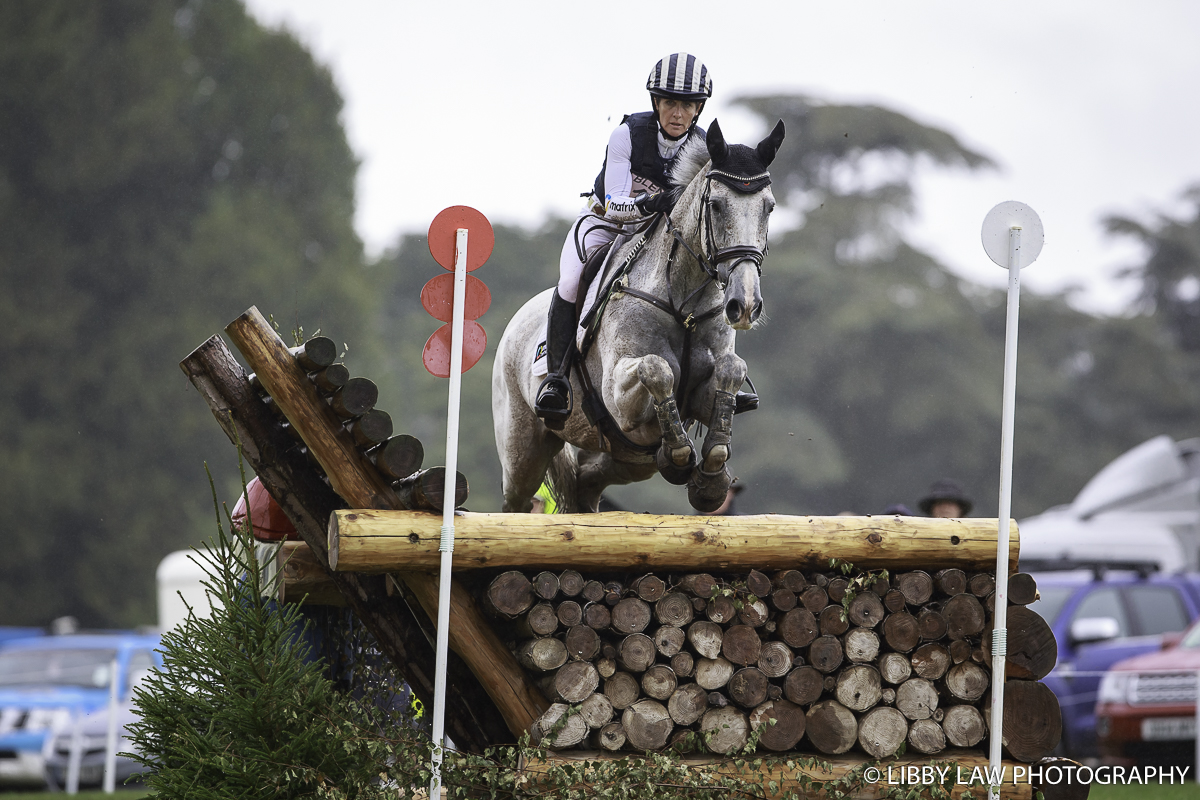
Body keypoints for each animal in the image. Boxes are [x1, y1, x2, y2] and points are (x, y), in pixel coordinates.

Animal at [489, 122, 782, 515]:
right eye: (716, 205)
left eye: (769, 207)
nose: (745, 304)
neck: (683, 306)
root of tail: (513, 327)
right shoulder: (619, 396)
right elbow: (657, 368)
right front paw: (679, 454)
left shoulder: (706, 387)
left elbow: (731, 370)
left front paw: (710, 477)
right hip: (524, 453)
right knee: (517, 501)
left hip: (627, 459)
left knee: (586, 483)